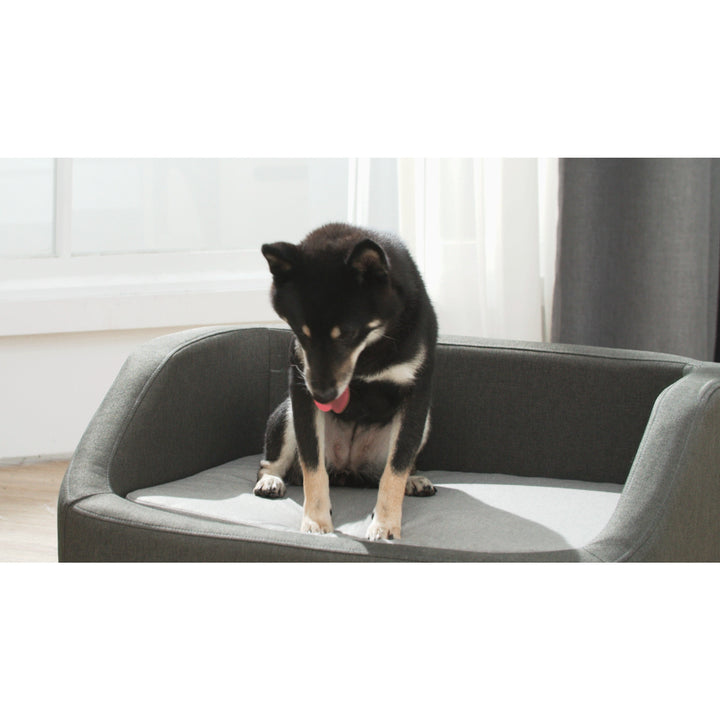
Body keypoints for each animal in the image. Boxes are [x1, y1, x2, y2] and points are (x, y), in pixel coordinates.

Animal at [255, 222, 438, 536]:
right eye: (301, 333)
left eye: (349, 334)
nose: (323, 396)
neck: (367, 352)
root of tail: (348, 470)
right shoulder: (301, 393)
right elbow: (313, 468)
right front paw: (316, 521)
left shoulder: (415, 394)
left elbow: (396, 469)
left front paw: (385, 525)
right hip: (287, 412)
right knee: (272, 464)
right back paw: (270, 481)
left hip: (424, 422)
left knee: (396, 468)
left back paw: (414, 481)